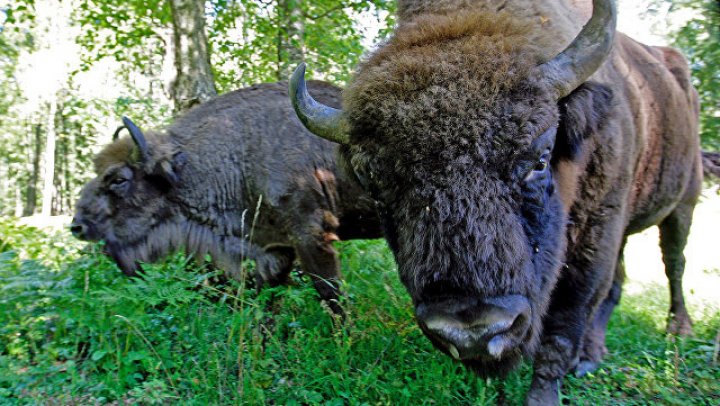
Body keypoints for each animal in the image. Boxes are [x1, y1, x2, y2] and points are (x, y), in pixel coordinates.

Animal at [71, 80, 382, 314]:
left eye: (119, 179)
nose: (77, 226)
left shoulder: (312, 236)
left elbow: (331, 294)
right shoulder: (273, 249)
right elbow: (268, 301)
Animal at [292, 0, 708, 402]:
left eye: (540, 160)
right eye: (375, 183)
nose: (472, 331)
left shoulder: (597, 233)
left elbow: (565, 323)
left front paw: (543, 394)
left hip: (683, 206)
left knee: (673, 264)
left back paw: (677, 330)